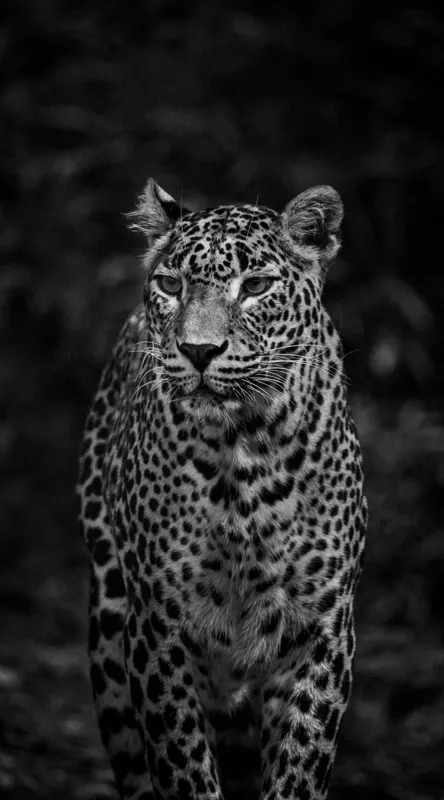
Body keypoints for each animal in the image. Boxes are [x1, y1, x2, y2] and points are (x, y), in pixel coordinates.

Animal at [78, 178, 367, 800]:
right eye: (171, 284)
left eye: (255, 286)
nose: (198, 351)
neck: (244, 451)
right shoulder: (158, 631)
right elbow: (183, 766)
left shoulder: (322, 632)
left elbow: (298, 768)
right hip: (110, 623)